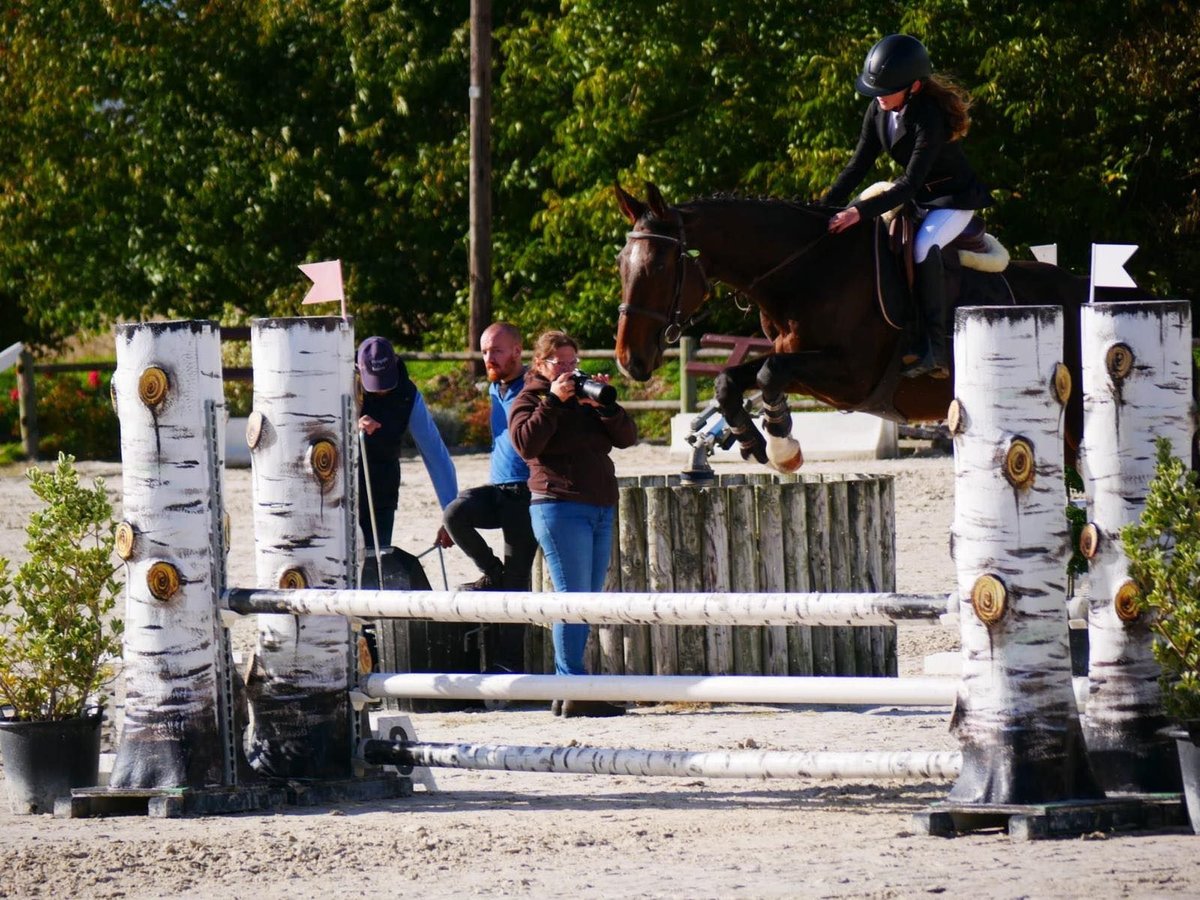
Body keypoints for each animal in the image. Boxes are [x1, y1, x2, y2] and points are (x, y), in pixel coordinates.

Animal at [614, 182, 1118, 472]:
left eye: (660, 267)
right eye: (622, 263)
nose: (628, 361)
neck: (807, 268)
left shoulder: (851, 377)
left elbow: (768, 373)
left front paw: (782, 444)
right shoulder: (802, 361)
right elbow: (730, 379)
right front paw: (754, 440)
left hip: (1075, 414)